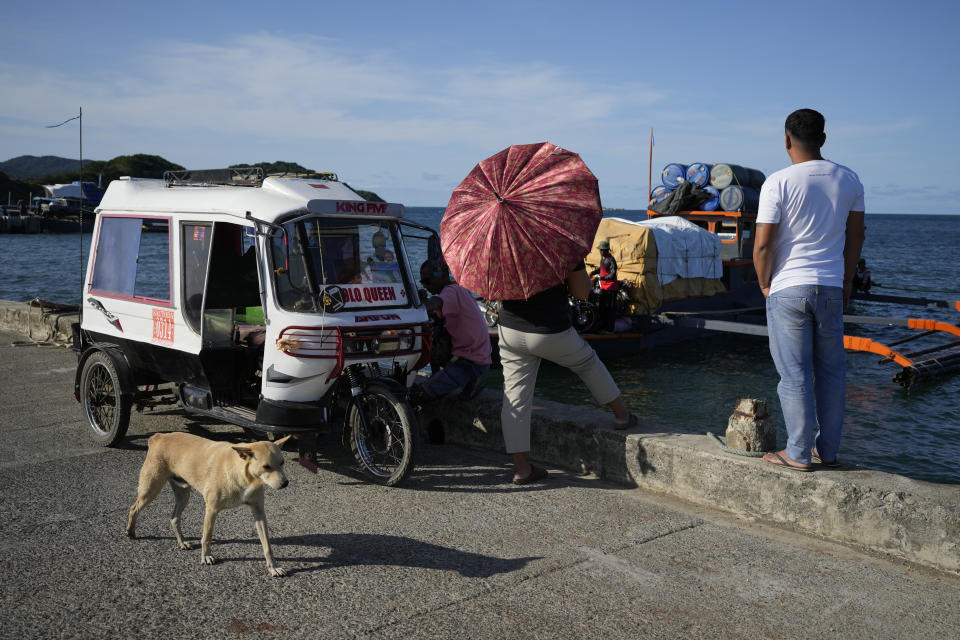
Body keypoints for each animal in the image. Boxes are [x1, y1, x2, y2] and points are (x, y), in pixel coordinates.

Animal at [127, 432, 292, 576]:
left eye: (282, 462)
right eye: (266, 466)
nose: (285, 483)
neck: (243, 474)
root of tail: (159, 436)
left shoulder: (259, 512)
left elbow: (267, 545)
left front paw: (273, 567)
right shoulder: (211, 510)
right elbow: (207, 536)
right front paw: (206, 556)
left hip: (183, 494)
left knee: (174, 518)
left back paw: (182, 542)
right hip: (150, 489)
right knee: (133, 508)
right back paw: (130, 531)